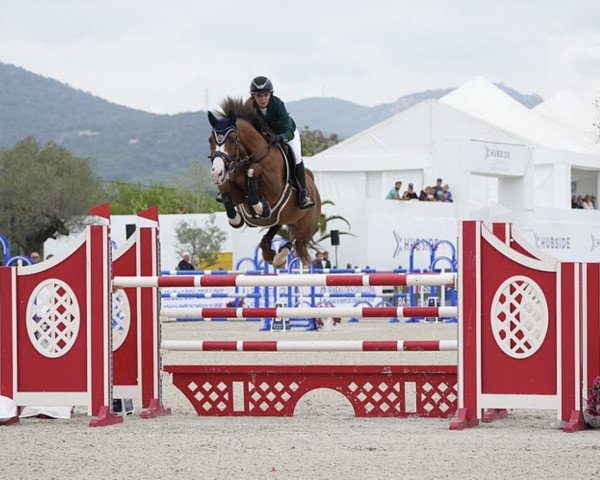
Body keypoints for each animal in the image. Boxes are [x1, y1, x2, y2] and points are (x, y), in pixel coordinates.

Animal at [206, 95, 322, 268]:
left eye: (232, 139)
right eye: (210, 140)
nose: (217, 172)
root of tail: (313, 185)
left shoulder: (273, 189)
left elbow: (255, 170)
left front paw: (260, 207)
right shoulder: (237, 195)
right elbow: (226, 190)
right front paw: (236, 219)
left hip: (306, 224)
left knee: (297, 237)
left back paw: (280, 256)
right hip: (284, 218)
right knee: (275, 228)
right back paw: (268, 252)